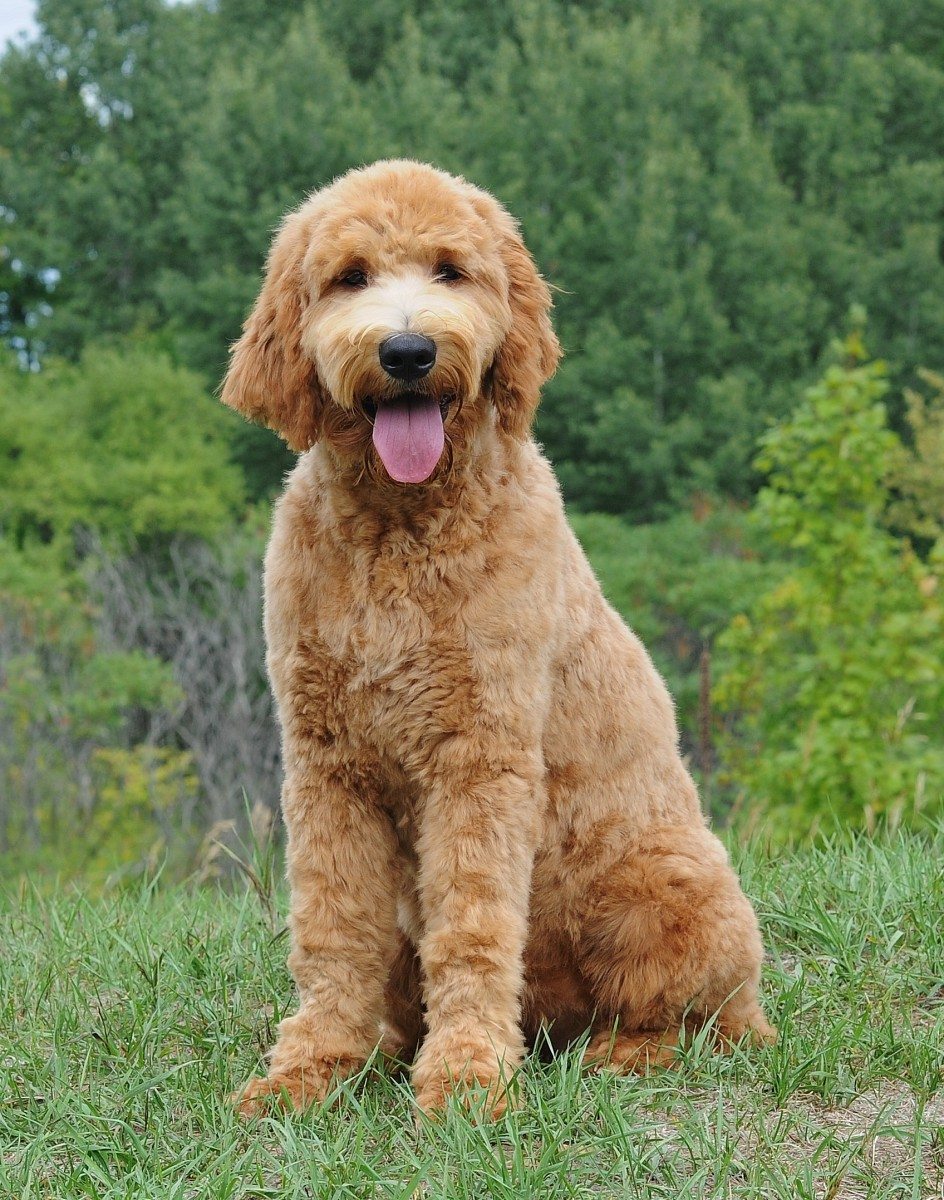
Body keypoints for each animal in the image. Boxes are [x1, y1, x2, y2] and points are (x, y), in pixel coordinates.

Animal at [223, 157, 777, 1113]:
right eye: (350, 277)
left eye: (451, 270)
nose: (407, 353)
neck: (402, 531)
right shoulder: (329, 766)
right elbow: (332, 930)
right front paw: (310, 1069)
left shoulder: (478, 757)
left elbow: (472, 927)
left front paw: (467, 1080)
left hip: (666, 887)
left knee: (707, 1023)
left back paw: (620, 1052)